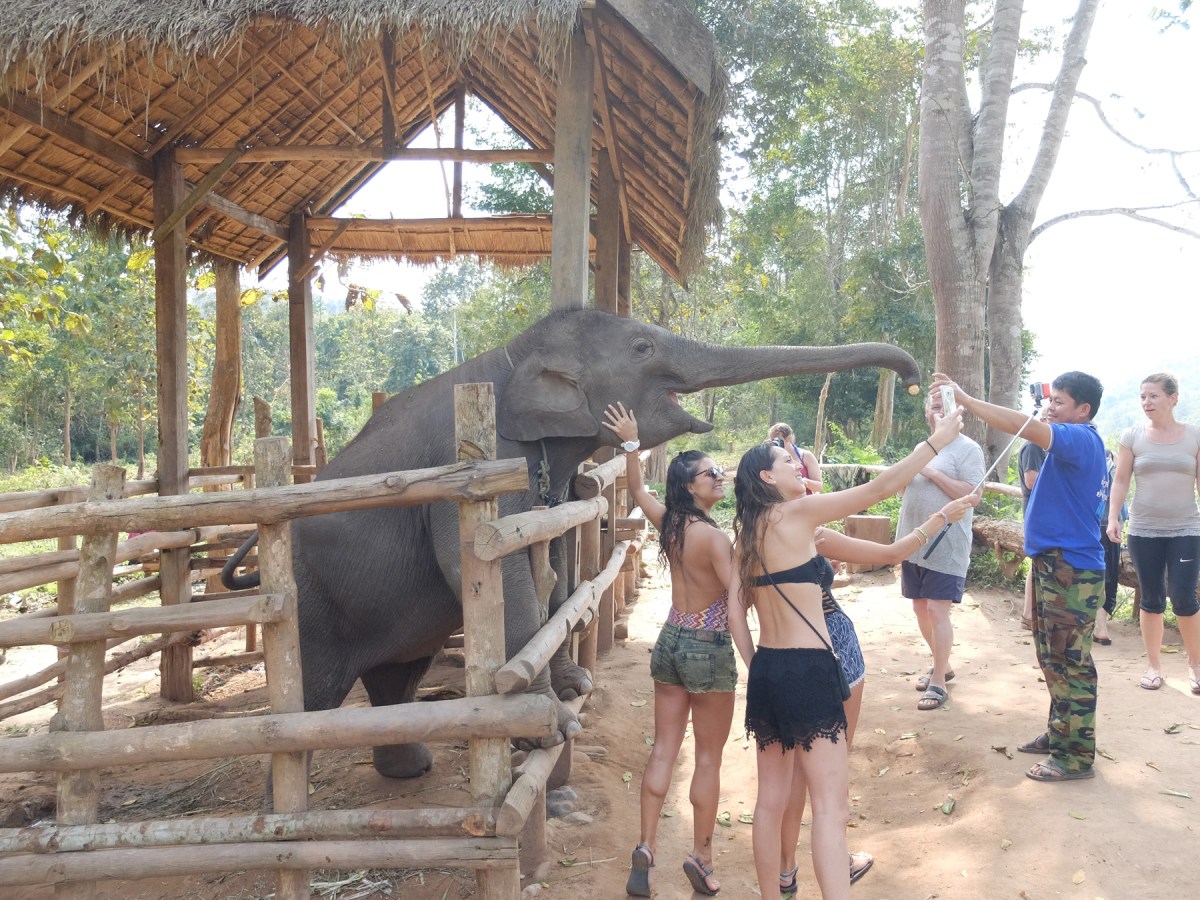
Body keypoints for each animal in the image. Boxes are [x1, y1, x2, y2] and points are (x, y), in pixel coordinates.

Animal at [227, 307, 921, 780]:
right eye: (641, 346)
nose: (915, 377)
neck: (508, 358)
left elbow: (555, 559)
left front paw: (575, 684)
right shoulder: (474, 462)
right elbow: (490, 566)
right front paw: (552, 725)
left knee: (395, 677)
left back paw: (412, 768)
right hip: (307, 596)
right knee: (313, 693)